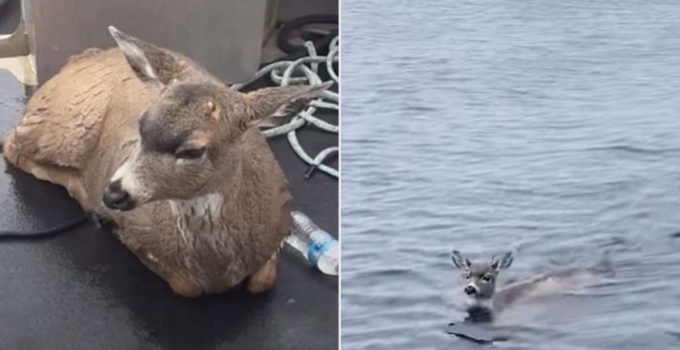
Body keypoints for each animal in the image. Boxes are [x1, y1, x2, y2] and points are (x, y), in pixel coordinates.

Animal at [0, 26, 330, 298]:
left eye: (192, 151)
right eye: (141, 124)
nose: (112, 194)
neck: (217, 269)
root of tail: (79, 59)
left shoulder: (280, 223)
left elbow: (263, 281)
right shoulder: (140, 235)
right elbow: (186, 288)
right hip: (58, 127)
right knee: (11, 143)